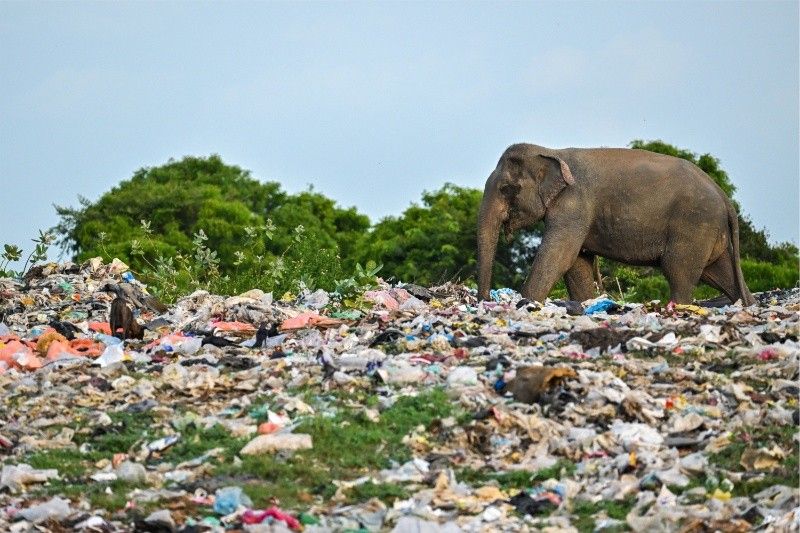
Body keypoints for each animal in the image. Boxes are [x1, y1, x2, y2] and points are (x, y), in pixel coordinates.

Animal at [478, 143, 752, 306]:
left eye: (506, 189)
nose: (485, 301)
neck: (552, 151)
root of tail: (723, 196)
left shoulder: (574, 204)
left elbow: (559, 256)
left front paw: (527, 303)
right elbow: (577, 264)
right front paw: (586, 305)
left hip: (694, 225)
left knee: (679, 271)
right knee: (719, 274)